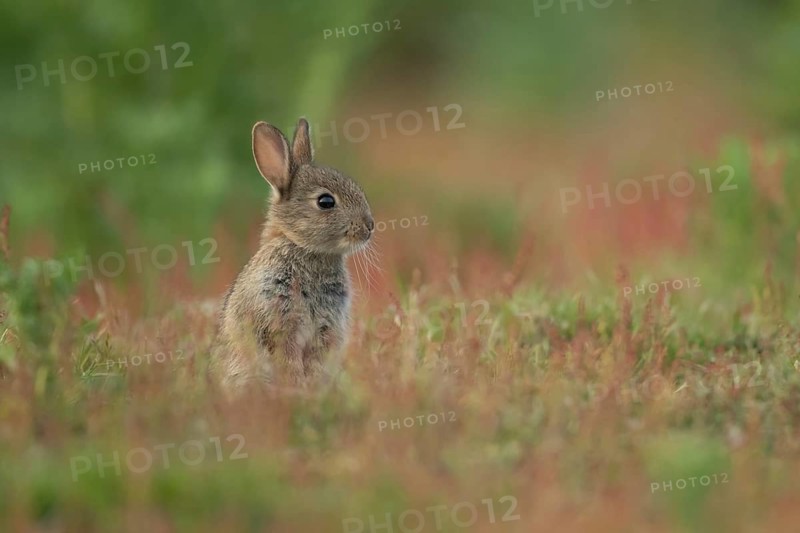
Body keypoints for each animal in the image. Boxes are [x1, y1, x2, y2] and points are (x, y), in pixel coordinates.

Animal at [212, 117, 374, 391]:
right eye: (326, 202)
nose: (370, 226)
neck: (301, 246)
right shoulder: (279, 322)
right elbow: (288, 359)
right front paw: (297, 387)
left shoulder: (325, 329)